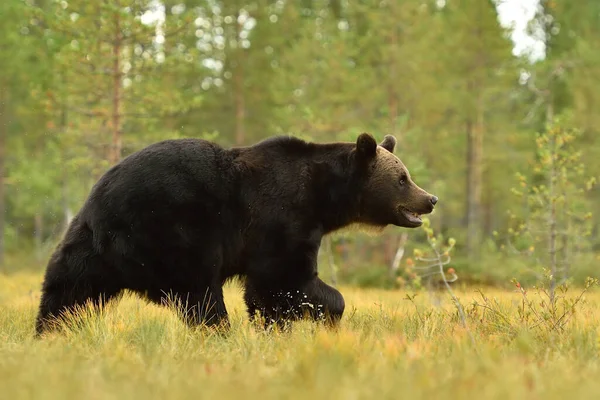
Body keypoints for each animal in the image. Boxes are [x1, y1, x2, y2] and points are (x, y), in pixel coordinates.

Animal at [34, 132, 436, 334]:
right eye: (402, 178)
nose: (429, 199)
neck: (322, 197)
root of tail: (101, 200)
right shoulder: (281, 219)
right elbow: (285, 280)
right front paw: (325, 314)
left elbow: (269, 291)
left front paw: (273, 326)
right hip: (174, 235)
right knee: (200, 294)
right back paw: (218, 331)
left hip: (90, 247)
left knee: (68, 288)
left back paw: (51, 330)